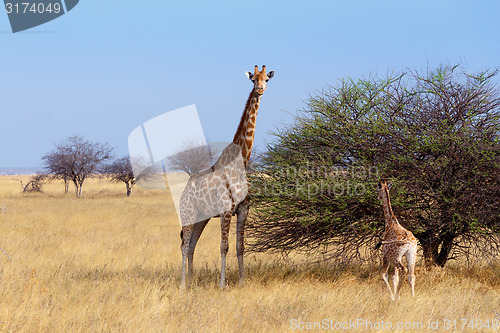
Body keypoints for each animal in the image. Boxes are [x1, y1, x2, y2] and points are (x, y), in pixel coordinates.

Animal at [179, 65, 274, 288]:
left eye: (267, 79)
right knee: (184, 245)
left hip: (201, 217)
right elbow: (224, 247)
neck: (242, 163)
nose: (260, 89)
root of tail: (183, 192)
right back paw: (183, 283)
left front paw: (242, 281)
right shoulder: (225, 210)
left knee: (192, 244)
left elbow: (240, 247)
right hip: (188, 213)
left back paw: (193, 279)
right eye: (253, 79)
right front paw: (222, 284)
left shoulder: (244, 210)